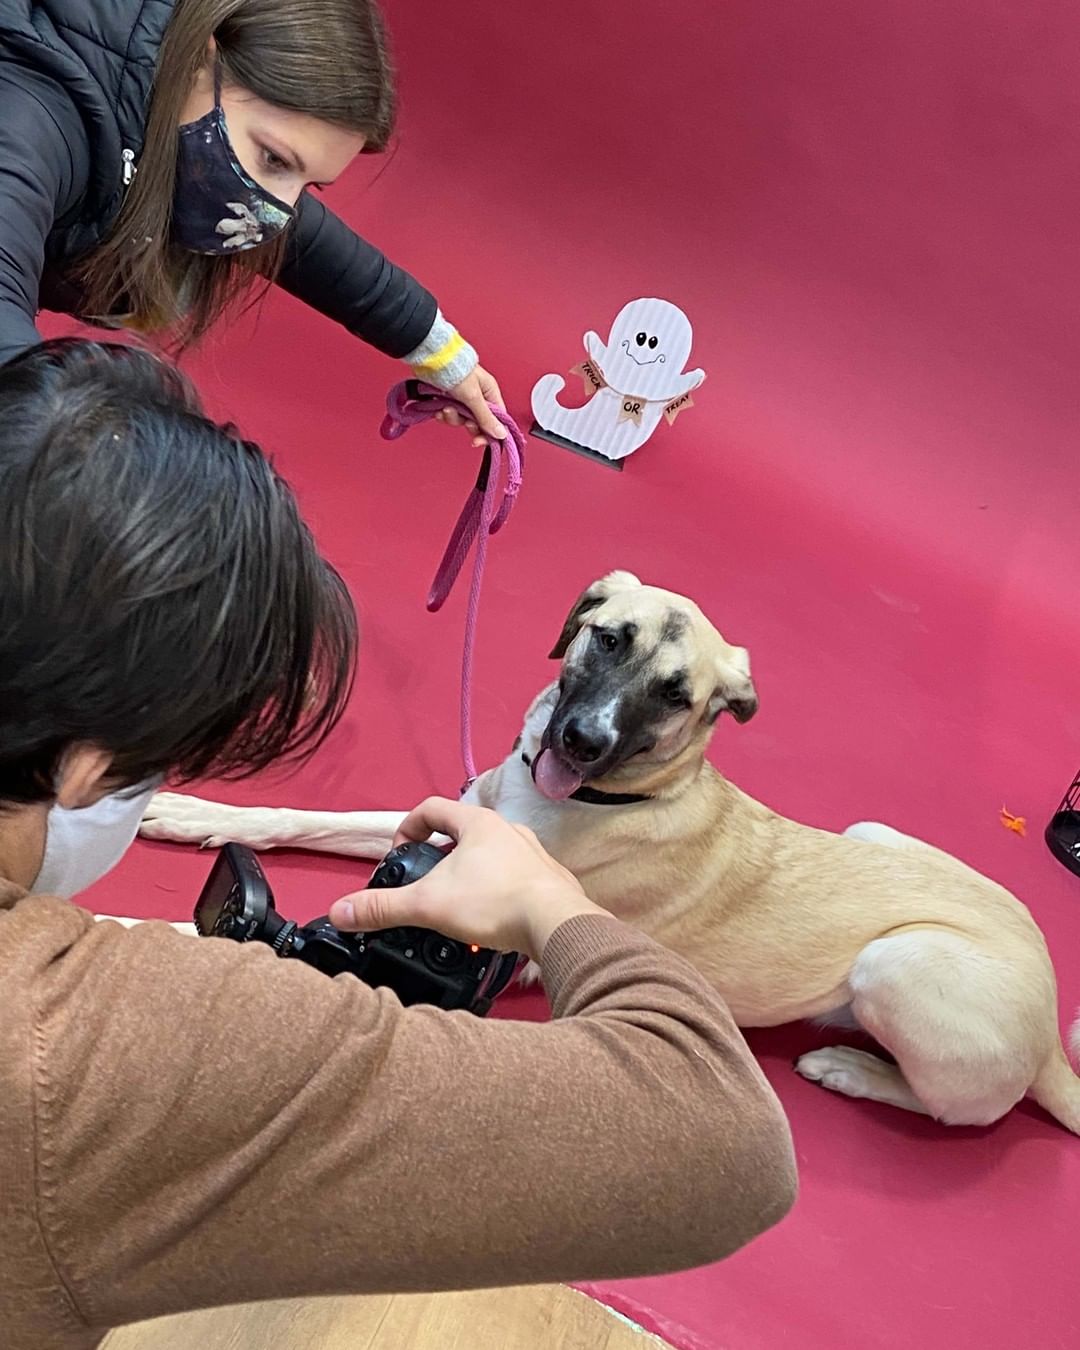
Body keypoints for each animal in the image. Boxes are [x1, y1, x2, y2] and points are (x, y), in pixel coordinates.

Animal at [141, 575, 1080, 1134]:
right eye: (609, 638)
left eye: (675, 695)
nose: (582, 741)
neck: (602, 795)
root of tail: (1051, 1039)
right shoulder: (442, 825)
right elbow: (311, 818)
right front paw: (185, 810)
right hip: (872, 831)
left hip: (898, 963)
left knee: (968, 1112)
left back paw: (847, 1068)